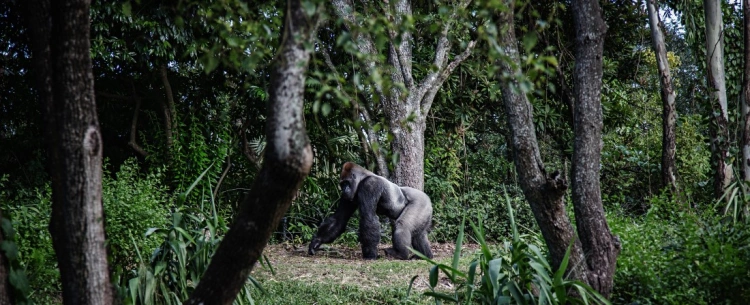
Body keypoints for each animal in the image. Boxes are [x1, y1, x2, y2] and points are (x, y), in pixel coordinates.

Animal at [306, 162, 434, 258]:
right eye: (342, 184)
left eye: (346, 183)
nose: (344, 189)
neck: (363, 177)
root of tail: (428, 198)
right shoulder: (348, 197)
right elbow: (339, 218)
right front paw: (316, 241)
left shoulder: (370, 185)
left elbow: (368, 217)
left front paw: (370, 254)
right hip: (425, 209)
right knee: (419, 234)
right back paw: (424, 256)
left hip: (420, 202)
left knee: (402, 225)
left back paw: (401, 254)